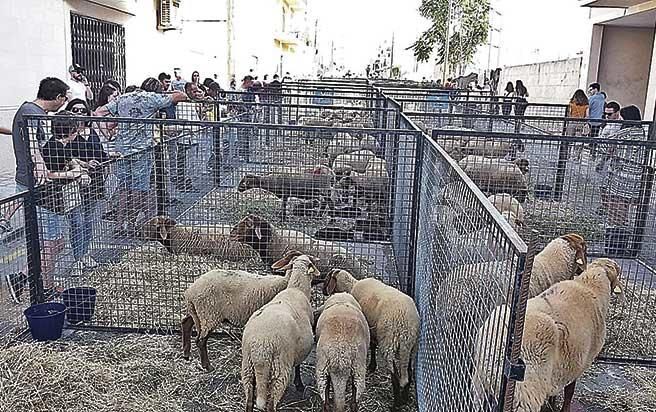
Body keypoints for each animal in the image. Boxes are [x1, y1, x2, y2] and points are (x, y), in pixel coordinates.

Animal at [242, 253, 322, 410]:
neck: (297, 288)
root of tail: (261, 345)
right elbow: (298, 366)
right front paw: (299, 384)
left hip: (247, 366)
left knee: (249, 399)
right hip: (280, 367)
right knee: (271, 403)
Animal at [322, 268, 420, 408]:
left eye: (326, 279)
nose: (323, 291)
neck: (352, 285)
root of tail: (406, 325)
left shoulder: (370, 327)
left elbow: (372, 346)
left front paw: (372, 366)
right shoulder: (372, 328)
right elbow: (373, 345)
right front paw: (372, 366)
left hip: (389, 342)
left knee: (395, 375)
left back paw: (396, 403)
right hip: (411, 347)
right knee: (409, 373)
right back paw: (405, 399)